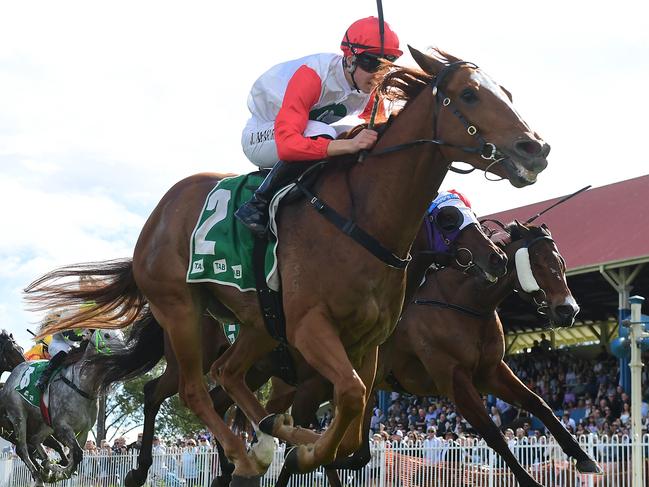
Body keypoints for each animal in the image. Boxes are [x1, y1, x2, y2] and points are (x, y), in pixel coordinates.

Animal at [0, 330, 124, 486]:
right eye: (107, 335)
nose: (125, 351)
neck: (81, 385)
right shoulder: (62, 427)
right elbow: (75, 453)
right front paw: (59, 472)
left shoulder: (84, 430)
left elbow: (73, 454)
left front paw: (57, 468)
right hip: (18, 416)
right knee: (22, 449)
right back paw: (40, 474)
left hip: (42, 424)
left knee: (35, 441)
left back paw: (46, 468)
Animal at [29, 45, 548, 484]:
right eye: (469, 94)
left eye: (507, 93)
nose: (535, 148)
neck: (363, 218)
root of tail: (158, 214)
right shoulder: (310, 329)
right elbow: (351, 398)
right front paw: (306, 450)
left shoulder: (368, 343)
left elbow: (356, 419)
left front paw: (302, 445)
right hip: (181, 311)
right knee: (192, 389)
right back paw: (238, 455)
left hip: (256, 322)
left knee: (227, 375)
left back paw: (262, 439)